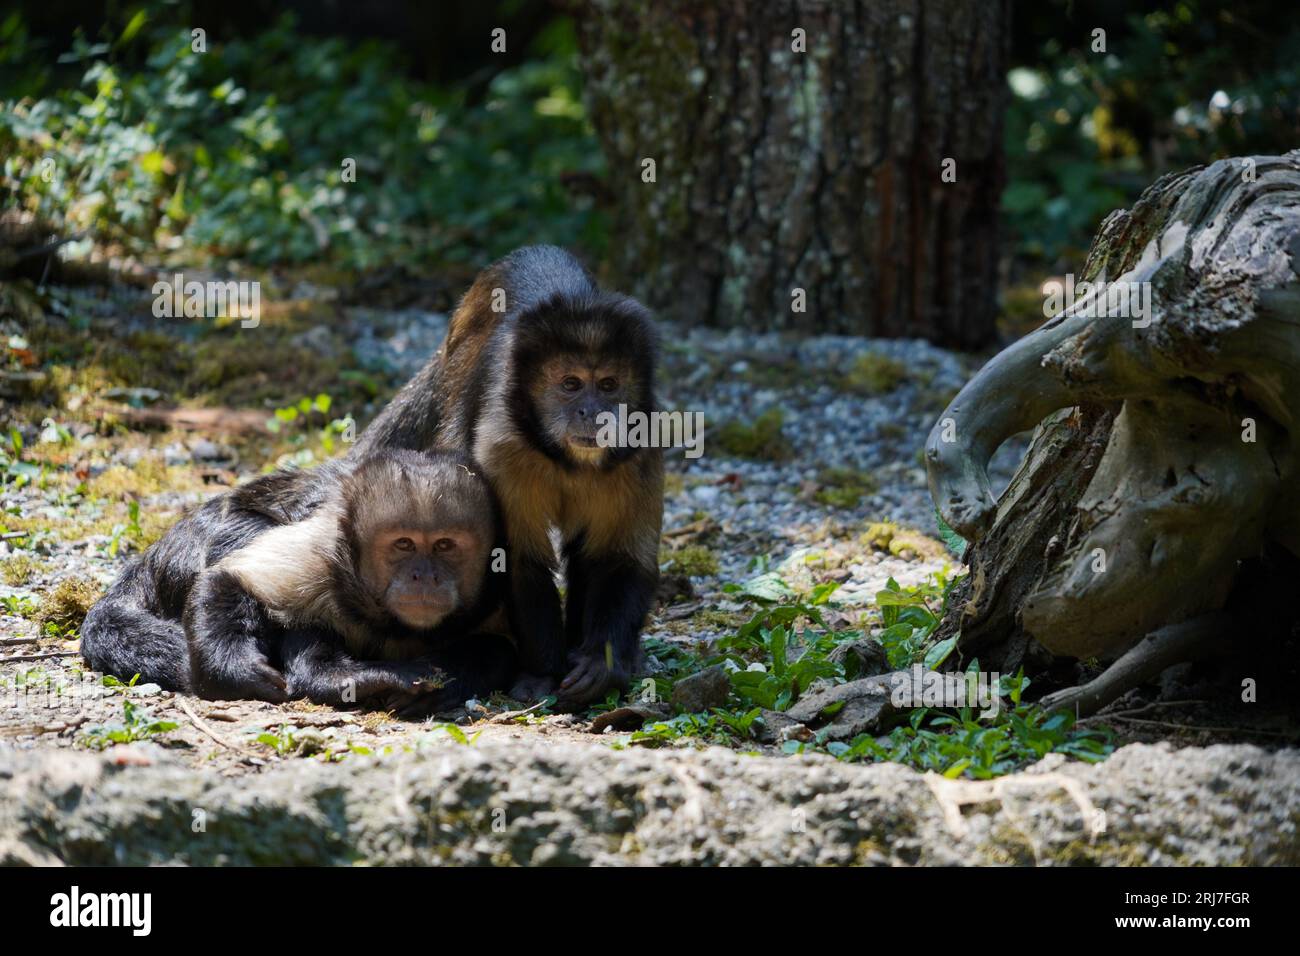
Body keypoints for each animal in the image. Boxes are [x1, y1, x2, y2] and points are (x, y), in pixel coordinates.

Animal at [81, 449, 514, 712]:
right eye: (404, 545)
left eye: (445, 546)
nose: (424, 575)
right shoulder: (324, 551)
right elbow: (227, 580)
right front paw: (237, 671)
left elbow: (501, 648)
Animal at [354, 245, 663, 709]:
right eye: (571, 384)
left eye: (609, 385)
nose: (593, 412)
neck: (565, 458)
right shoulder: (503, 441)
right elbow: (515, 561)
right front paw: (541, 674)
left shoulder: (642, 446)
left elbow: (623, 559)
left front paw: (600, 664)